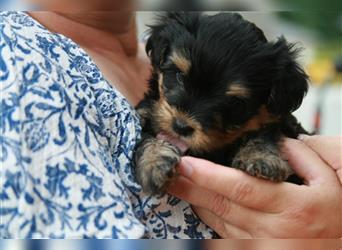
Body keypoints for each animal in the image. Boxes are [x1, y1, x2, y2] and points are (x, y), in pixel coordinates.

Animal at [134, 12, 310, 195]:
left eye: (233, 102)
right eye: (180, 76)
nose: (181, 127)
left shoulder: (273, 121)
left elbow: (263, 134)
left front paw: (262, 159)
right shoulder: (146, 112)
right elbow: (143, 137)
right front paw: (155, 162)